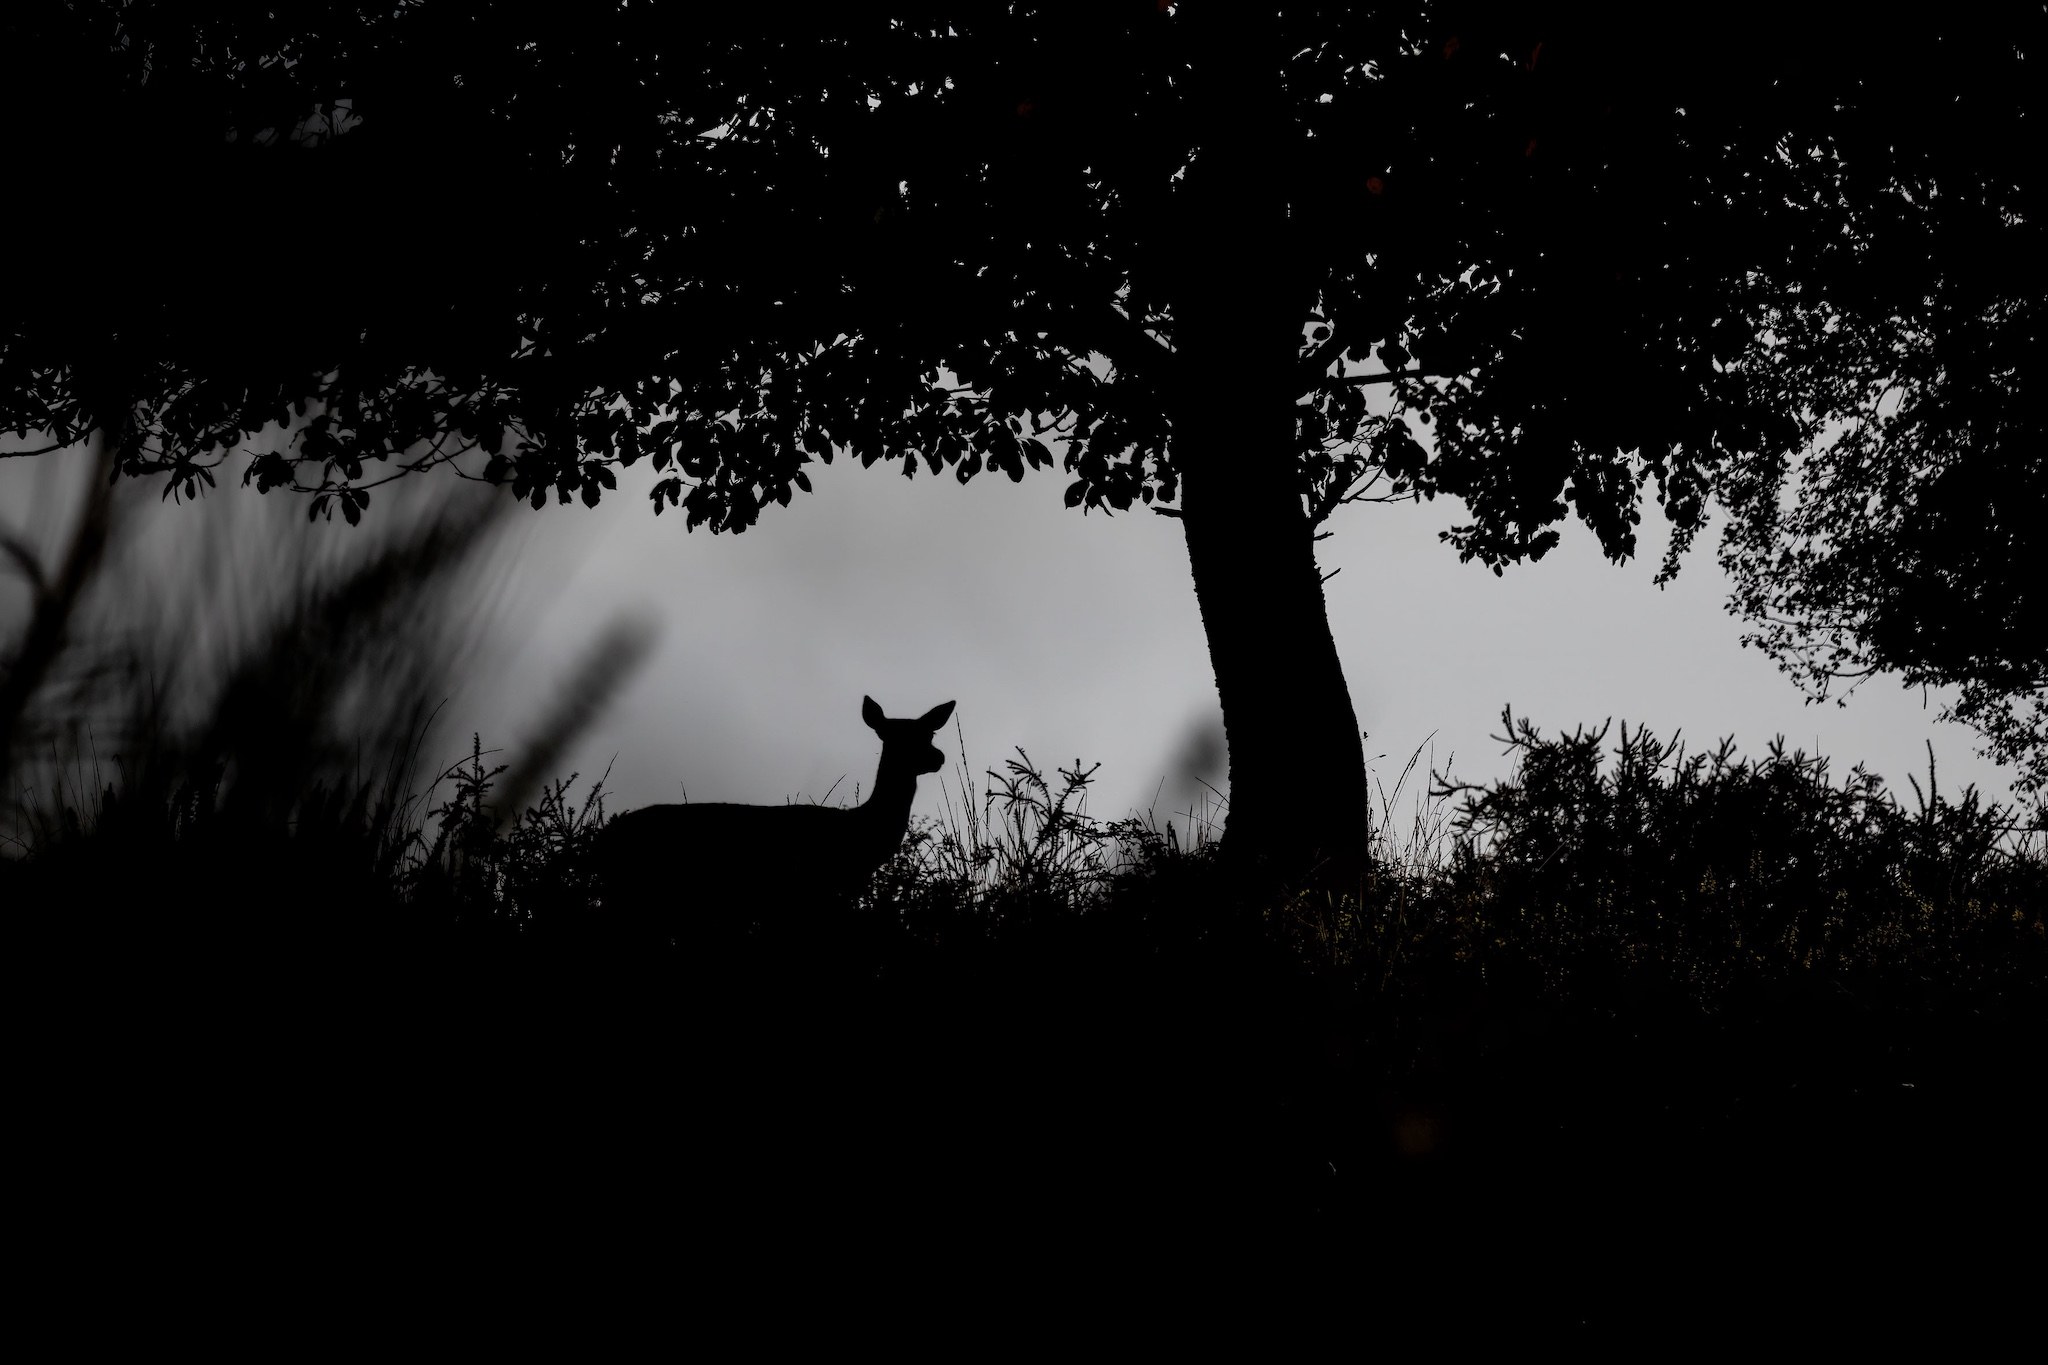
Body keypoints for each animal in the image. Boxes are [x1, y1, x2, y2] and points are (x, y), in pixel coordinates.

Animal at [593, 696, 955, 942]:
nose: (938, 757)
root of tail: (604, 838)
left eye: (930, 735)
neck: (860, 834)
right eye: (896, 737)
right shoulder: (812, 890)